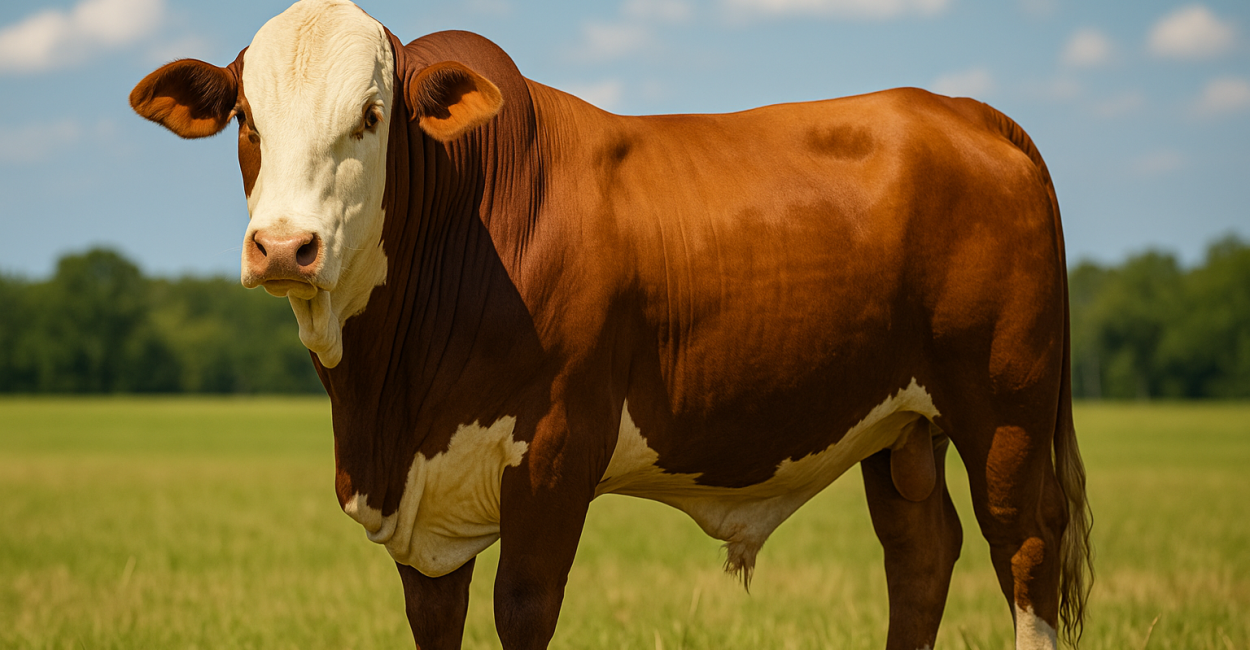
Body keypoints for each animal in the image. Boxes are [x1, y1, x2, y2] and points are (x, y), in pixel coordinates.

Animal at [130, 1, 1092, 648]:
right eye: (246, 118)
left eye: (372, 115)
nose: (284, 246)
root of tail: (964, 110)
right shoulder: (422, 504)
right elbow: (434, 615)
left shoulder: (556, 457)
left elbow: (524, 607)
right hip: (901, 426)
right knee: (920, 554)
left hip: (1004, 412)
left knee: (1023, 550)